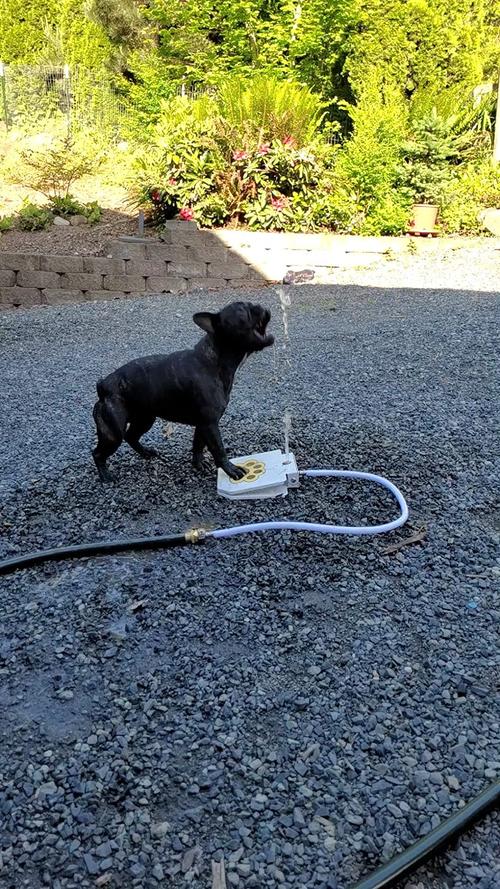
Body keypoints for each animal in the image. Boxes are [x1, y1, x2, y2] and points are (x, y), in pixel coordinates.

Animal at [92, 298, 276, 482]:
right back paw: (106, 476)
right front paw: (231, 470)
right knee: (99, 453)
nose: (260, 306)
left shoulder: (204, 424)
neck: (217, 360)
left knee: (131, 436)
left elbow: (198, 444)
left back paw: (146, 453)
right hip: (113, 434)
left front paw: (198, 464)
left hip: (145, 418)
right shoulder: (210, 424)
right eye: (242, 310)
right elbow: (218, 449)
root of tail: (103, 386)